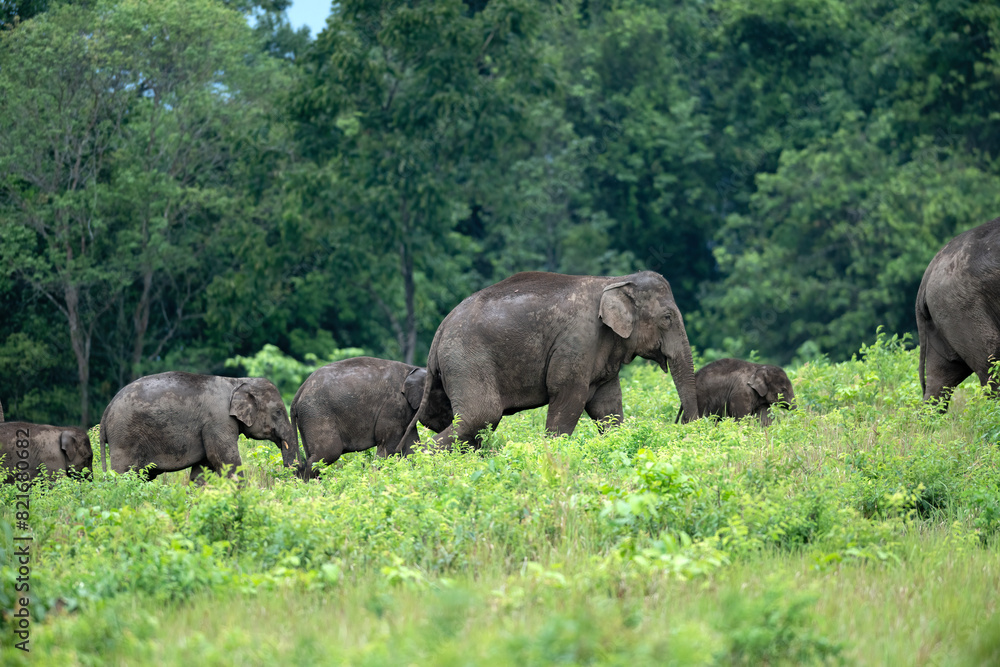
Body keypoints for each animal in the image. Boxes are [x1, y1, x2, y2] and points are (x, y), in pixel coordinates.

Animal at [99, 372, 298, 481]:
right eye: (279, 411)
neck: (236, 382)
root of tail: (107, 409)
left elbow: (202, 469)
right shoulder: (218, 420)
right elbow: (226, 460)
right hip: (124, 437)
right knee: (124, 474)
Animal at [290, 357, 453, 479]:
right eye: (447, 403)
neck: (413, 369)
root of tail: (299, 392)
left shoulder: (406, 412)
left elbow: (411, 446)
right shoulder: (393, 405)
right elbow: (390, 447)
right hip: (316, 413)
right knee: (327, 453)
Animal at [398, 270, 699, 451]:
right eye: (667, 318)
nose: (682, 423)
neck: (615, 280)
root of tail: (440, 329)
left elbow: (607, 406)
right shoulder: (577, 342)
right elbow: (569, 397)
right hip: (467, 358)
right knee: (482, 415)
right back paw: (419, 459)